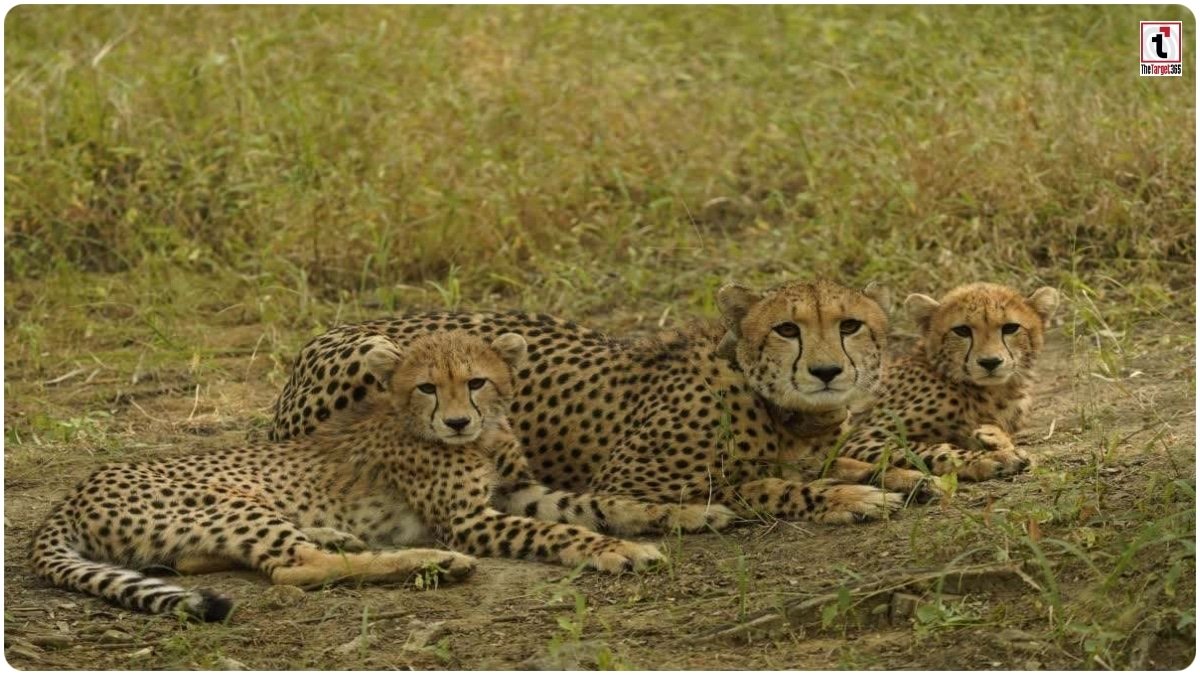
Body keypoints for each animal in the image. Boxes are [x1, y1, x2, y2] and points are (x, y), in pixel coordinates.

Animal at [31, 331, 681, 621]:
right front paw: (620, 553)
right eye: (427, 386)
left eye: (476, 381)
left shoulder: (517, 488)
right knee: (293, 568)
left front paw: (680, 513)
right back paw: (431, 564)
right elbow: (561, 530)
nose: (456, 421)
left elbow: (592, 503)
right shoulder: (467, 520)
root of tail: (75, 490)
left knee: (203, 559)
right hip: (232, 501)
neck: (482, 437)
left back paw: (340, 535)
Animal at [270, 279, 908, 524]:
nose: (826, 372)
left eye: (849, 325)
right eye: (787, 329)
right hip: (366, 359)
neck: (789, 415)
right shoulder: (631, 481)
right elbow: (760, 484)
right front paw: (849, 496)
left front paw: (902, 473)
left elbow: (850, 459)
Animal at [830, 282, 1060, 485]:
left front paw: (993, 438)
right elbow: (930, 449)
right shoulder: (858, 438)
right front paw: (990, 458)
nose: (990, 362)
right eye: (962, 331)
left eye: (1010, 328)